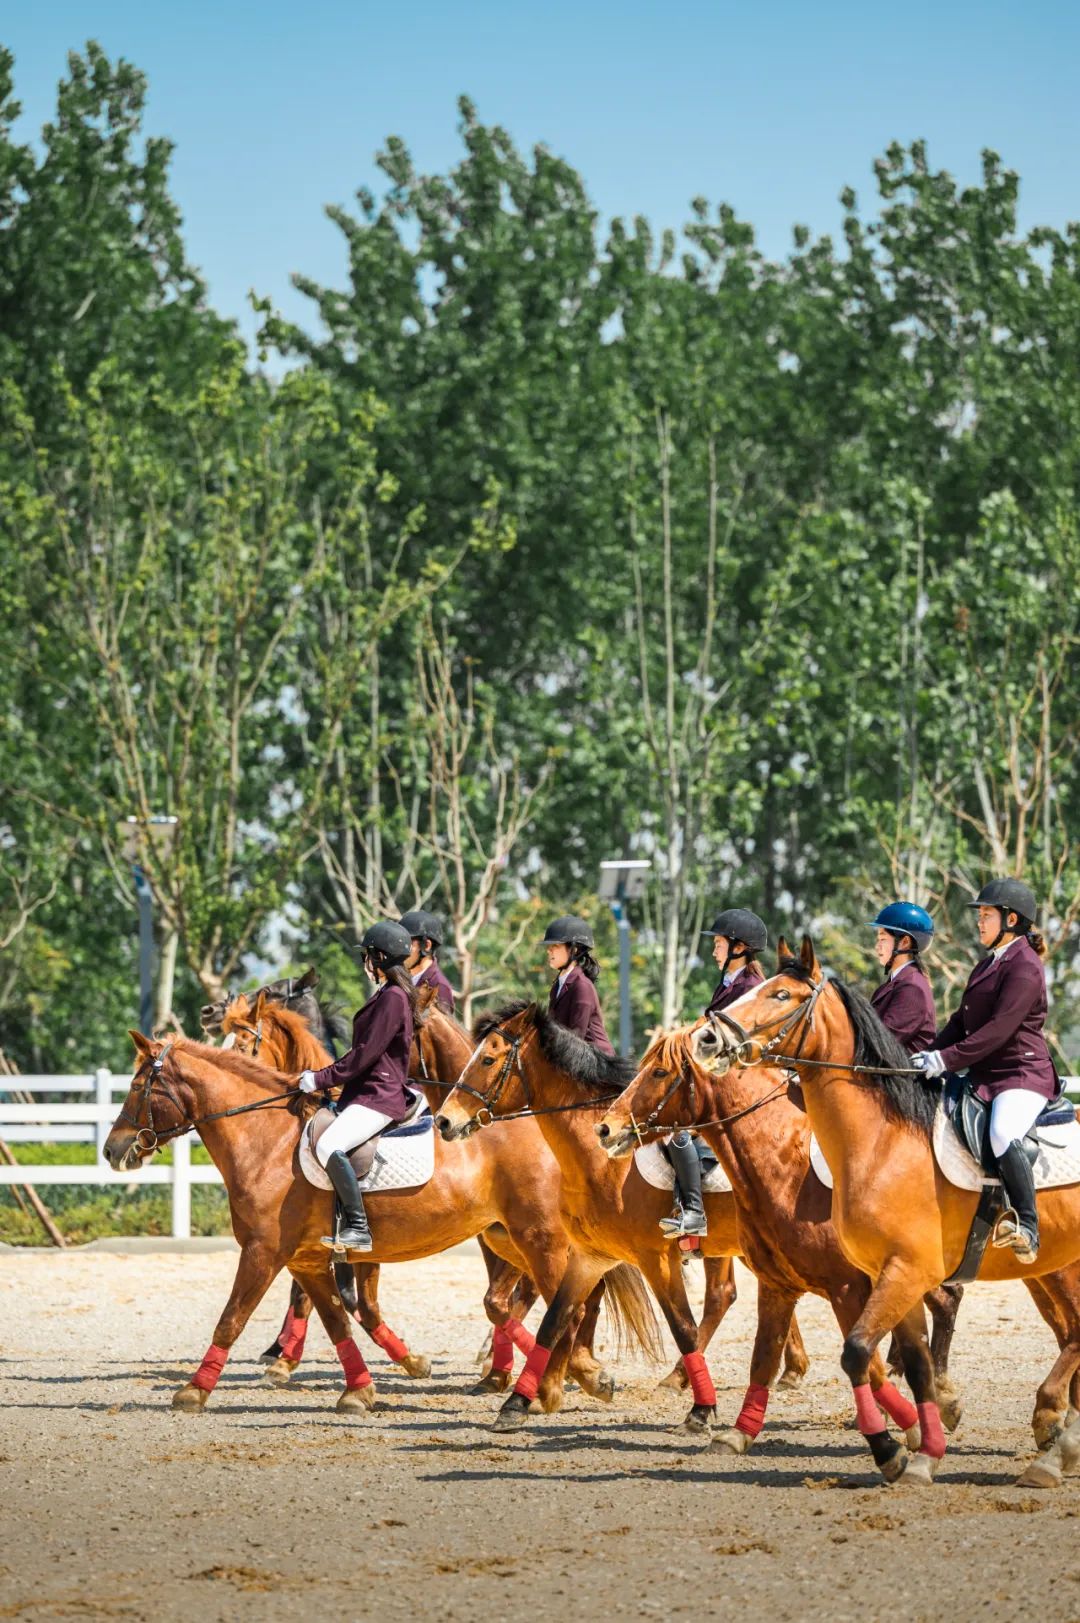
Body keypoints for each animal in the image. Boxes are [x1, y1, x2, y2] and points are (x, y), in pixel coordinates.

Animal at [103, 1032, 656, 1415]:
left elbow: (231, 1318)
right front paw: (360, 1391)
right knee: (556, 1302)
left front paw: (193, 1391)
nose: (111, 1150)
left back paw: (561, 1381)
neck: (266, 1139)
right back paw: (568, 1376)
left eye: (137, 1086)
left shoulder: (262, 1253)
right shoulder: (305, 1260)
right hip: (509, 1239)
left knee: (569, 1305)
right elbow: (337, 1319)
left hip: (538, 1239)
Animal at [428, 999, 808, 1434]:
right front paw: (518, 1402)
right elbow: (556, 1320)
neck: (603, 1161)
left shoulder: (656, 1259)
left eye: (488, 1059)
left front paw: (700, 1410)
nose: (444, 1121)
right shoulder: (589, 1256)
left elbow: (681, 1328)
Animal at [594, 1019, 961, 1454]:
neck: (787, 1165)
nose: (606, 1128)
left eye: (659, 1072)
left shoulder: (847, 1286)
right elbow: (764, 1353)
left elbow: (862, 1361)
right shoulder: (778, 1281)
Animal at [691, 934, 1080, 1486]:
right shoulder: (892, 1275)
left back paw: (1053, 1447)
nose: (706, 1039)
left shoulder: (901, 1272)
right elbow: (914, 1364)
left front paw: (891, 1449)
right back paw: (1057, 1444)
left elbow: (857, 1353)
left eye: (781, 994)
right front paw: (923, 1452)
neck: (881, 1144)